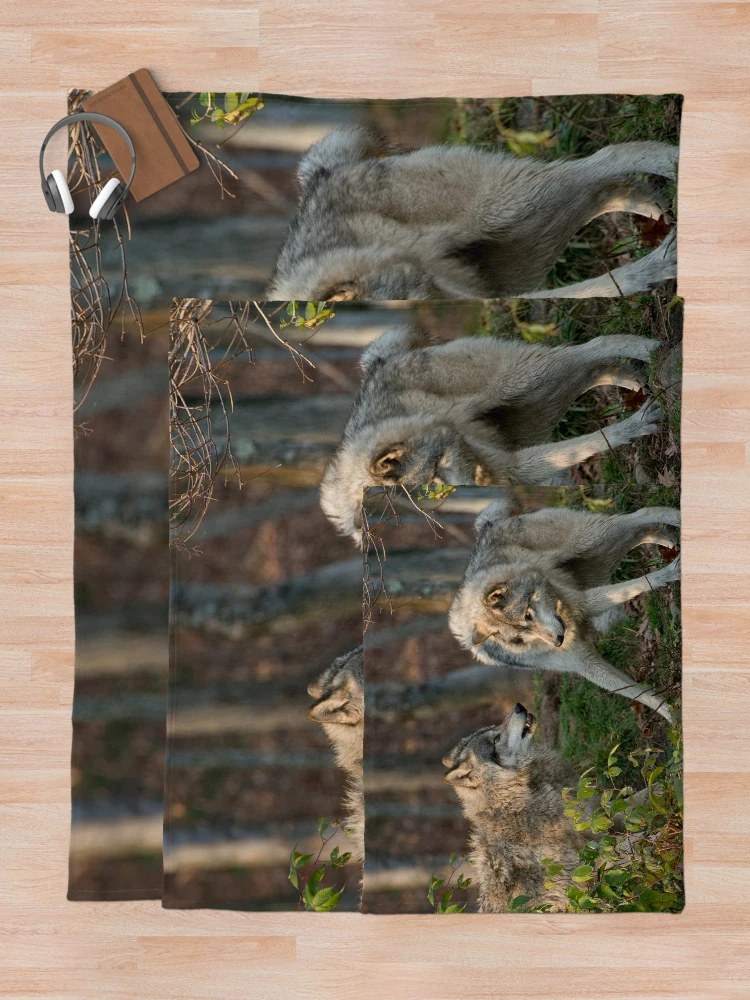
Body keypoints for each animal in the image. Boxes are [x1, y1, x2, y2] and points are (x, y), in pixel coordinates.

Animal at [267, 126, 678, 301]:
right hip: (518, 255)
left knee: (609, 157)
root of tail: (322, 172)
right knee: (608, 191)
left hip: (507, 203)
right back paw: (657, 213)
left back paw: (670, 162)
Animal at [320, 326, 662, 540]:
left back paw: (648, 348)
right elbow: (586, 445)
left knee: (593, 347)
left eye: (435, 471)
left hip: (523, 378)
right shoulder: (512, 467)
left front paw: (637, 424)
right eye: (434, 482)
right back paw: (633, 378)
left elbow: (590, 442)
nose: (479, 481)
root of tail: (379, 361)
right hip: (534, 407)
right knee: (593, 369)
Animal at [448, 502, 680, 719]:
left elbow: (636, 585)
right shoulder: (584, 663)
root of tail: (486, 525)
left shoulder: (583, 602)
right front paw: (672, 716)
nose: (558, 642)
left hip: (589, 539)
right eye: (519, 637)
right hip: (597, 564)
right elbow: (642, 696)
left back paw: (675, 518)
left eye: (527, 615)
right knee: (636, 532)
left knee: (642, 514)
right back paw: (666, 540)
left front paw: (668, 574)